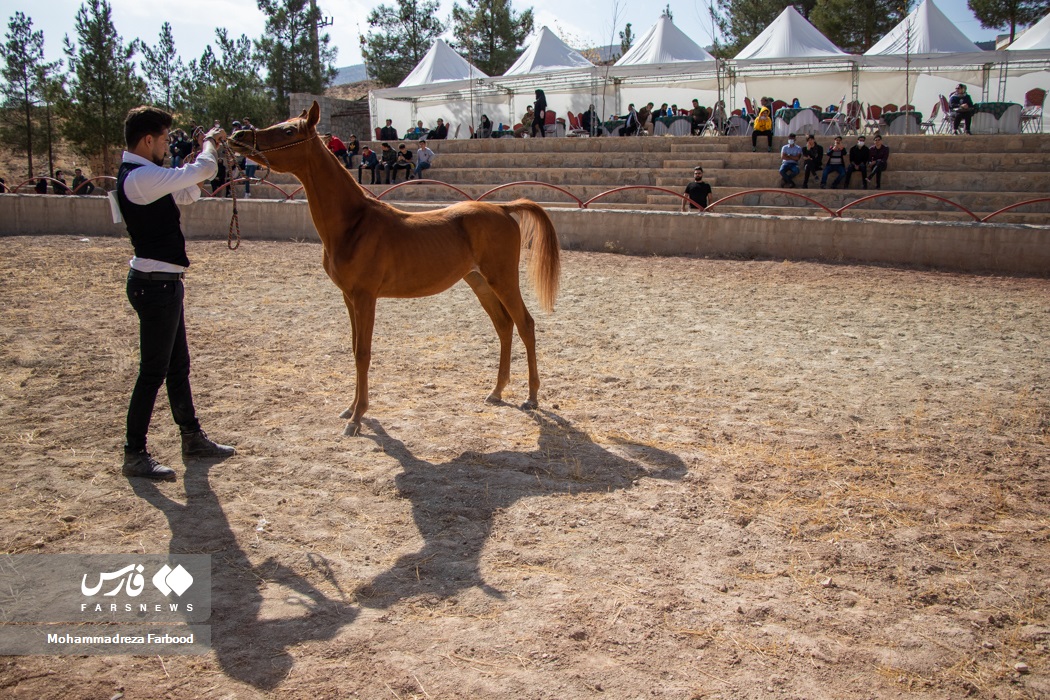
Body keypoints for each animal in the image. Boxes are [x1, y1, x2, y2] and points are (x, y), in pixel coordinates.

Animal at [228, 101, 558, 434]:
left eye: (288, 131)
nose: (237, 136)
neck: (354, 223)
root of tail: (503, 208)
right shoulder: (348, 297)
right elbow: (354, 348)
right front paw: (350, 409)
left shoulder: (365, 297)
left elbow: (363, 353)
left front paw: (358, 417)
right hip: (478, 281)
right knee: (504, 326)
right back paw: (496, 391)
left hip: (502, 279)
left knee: (525, 324)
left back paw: (531, 397)